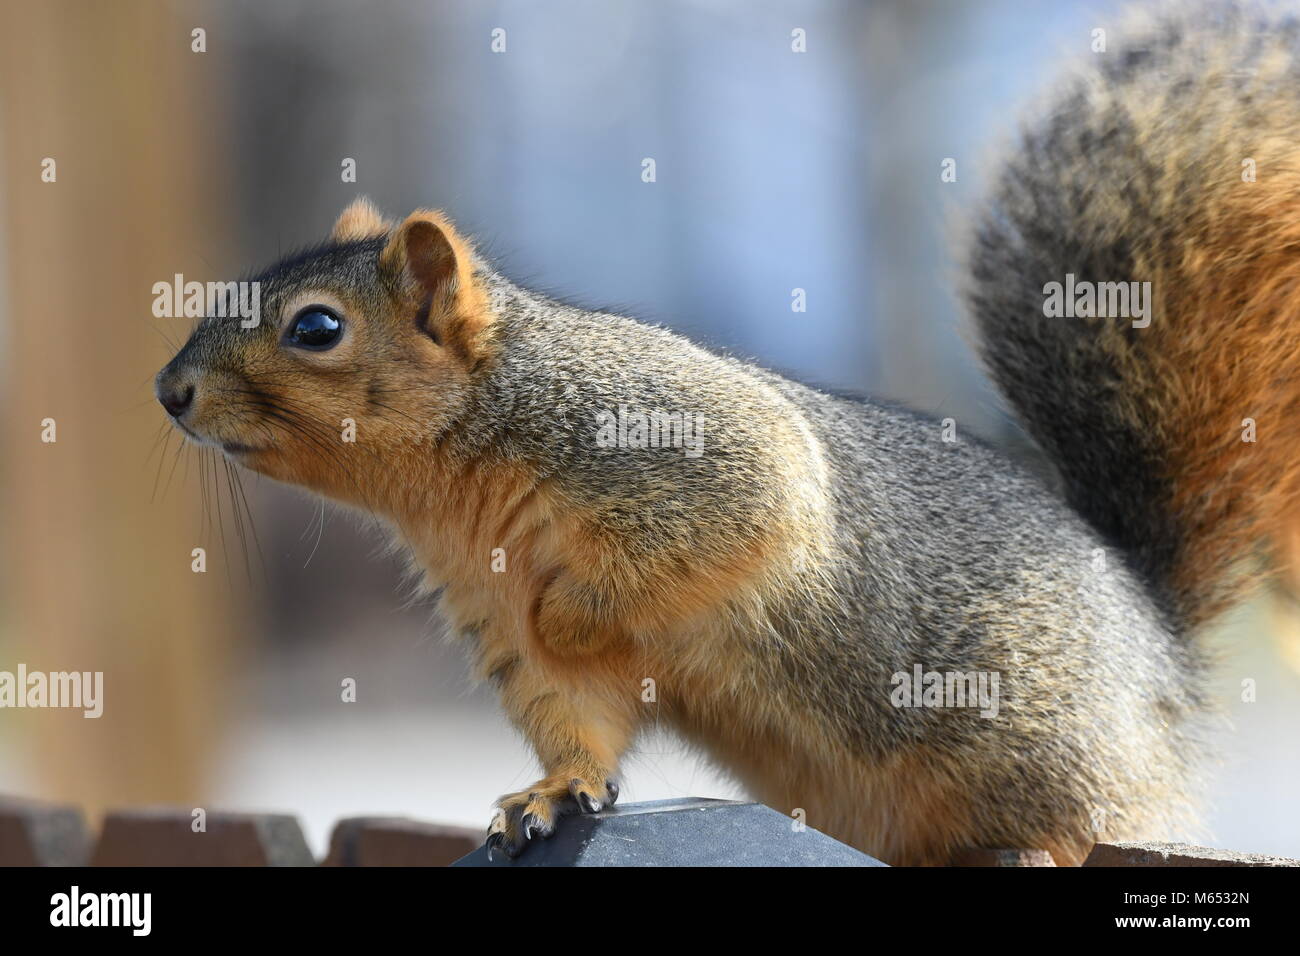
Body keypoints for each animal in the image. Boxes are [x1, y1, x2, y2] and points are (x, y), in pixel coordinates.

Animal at [154, 1, 1300, 868]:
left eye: (316, 328)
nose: (170, 390)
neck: (463, 477)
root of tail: (1157, 641)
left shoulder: (702, 456)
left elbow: (703, 542)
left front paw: (575, 611)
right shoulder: (491, 606)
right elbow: (572, 710)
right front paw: (549, 791)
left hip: (1045, 740)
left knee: (1086, 817)